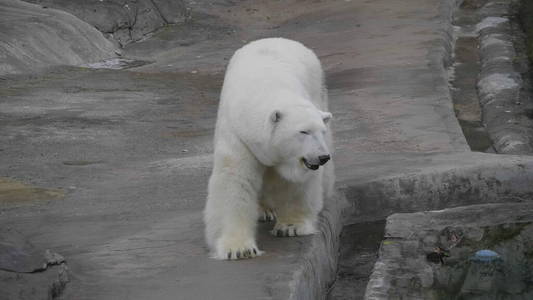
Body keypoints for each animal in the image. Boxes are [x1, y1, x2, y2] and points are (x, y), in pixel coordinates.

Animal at [204, 37, 332, 260]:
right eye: (303, 131)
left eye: (320, 131)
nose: (323, 157)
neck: (267, 87)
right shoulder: (238, 135)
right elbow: (235, 180)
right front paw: (239, 249)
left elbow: (295, 183)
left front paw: (291, 227)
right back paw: (264, 211)